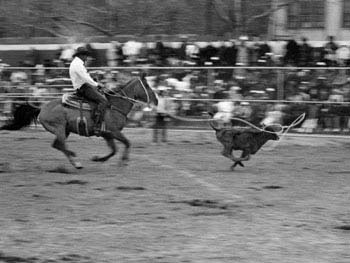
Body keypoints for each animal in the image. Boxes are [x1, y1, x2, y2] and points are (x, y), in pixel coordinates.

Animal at [0, 75, 159, 169]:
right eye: (147, 86)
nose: (156, 101)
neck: (115, 105)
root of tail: (41, 108)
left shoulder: (107, 134)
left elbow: (114, 150)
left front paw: (98, 159)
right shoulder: (114, 132)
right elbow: (127, 143)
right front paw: (124, 161)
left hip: (65, 130)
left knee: (57, 145)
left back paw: (74, 159)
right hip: (59, 129)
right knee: (61, 145)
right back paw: (76, 162)